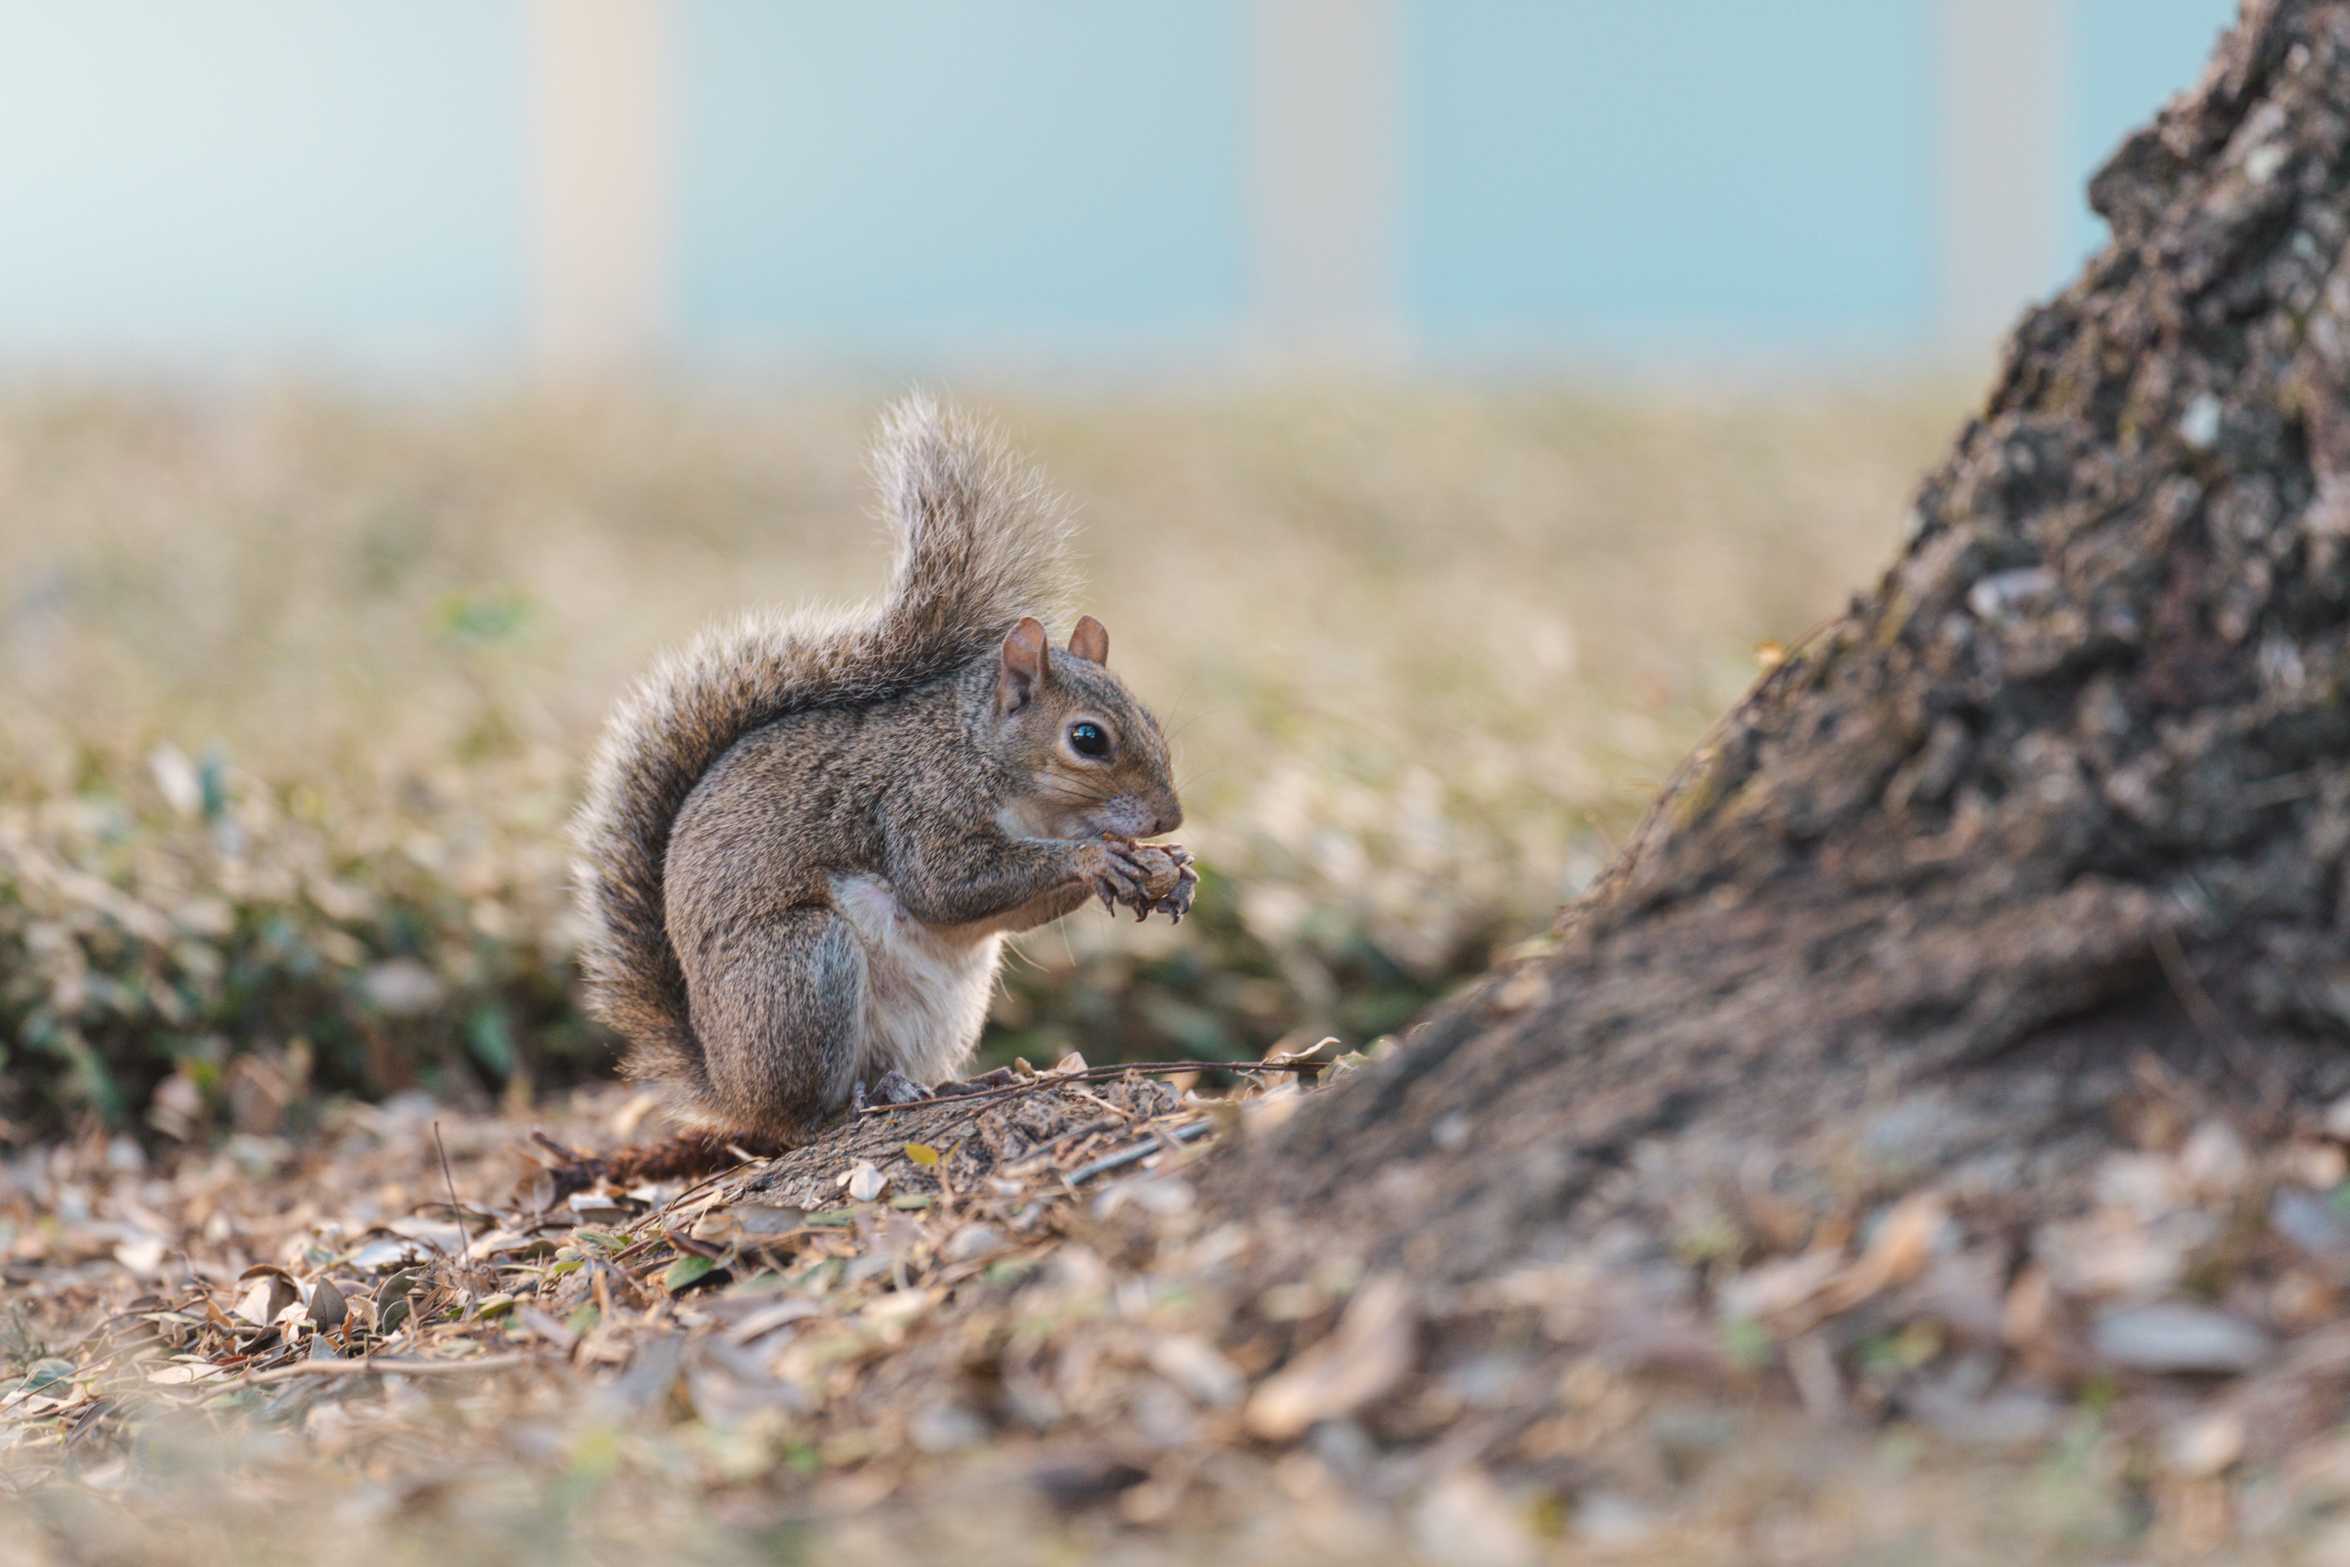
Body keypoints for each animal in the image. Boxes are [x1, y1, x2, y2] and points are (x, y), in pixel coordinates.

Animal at [571, 399, 1193, 1141]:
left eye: (1151, 718)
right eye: (1088, 739)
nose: (1169, 817)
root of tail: (728, 1087)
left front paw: (1171, 868)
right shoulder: (918, 805)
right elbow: (944, 885)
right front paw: (1097, 857)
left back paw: (956, 1082)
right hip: (805, 966)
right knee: (804, 1113)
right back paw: (854, 1103)